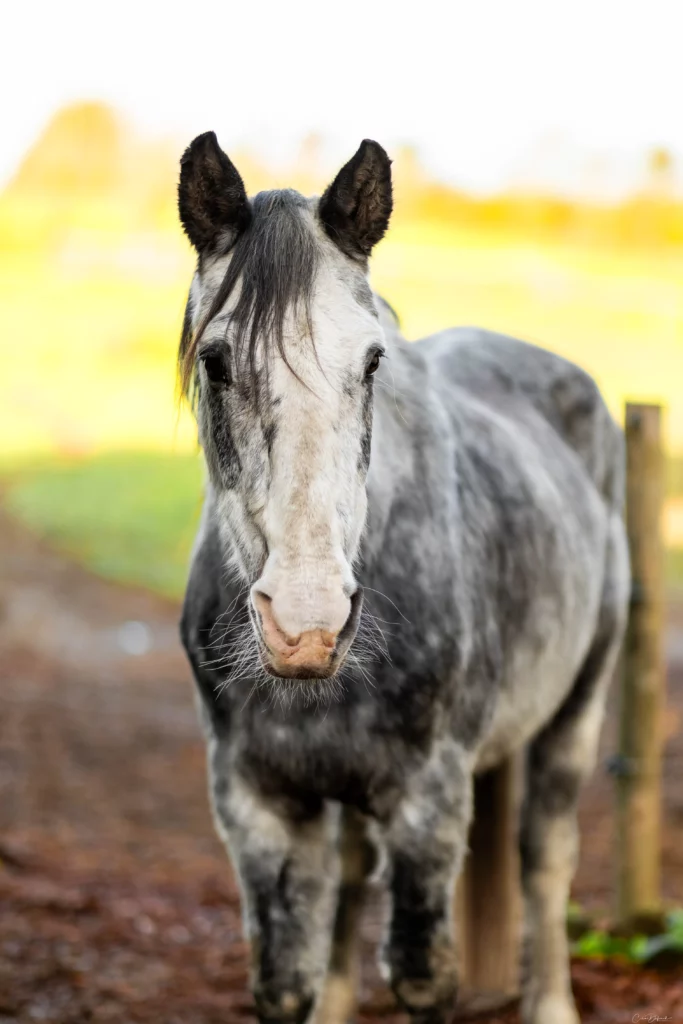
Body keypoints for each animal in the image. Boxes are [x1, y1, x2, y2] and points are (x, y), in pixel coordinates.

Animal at [178, 136, 630, 1024]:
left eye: (373, 358)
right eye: (215, 362)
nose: (307, 624)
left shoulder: (429, 800)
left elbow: (424, 973)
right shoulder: (255, 804)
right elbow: (283, 980)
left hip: (576, 710)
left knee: (545, 855)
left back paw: (551, 1000)